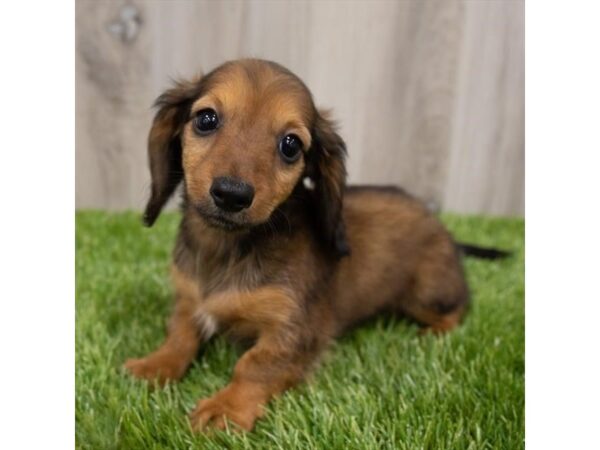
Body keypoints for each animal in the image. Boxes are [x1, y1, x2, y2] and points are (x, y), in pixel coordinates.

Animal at [125, 58, 496, 430]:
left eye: (290, 145)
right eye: (206, 119)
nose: (231, 194)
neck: (225, 248)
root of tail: (442, 228)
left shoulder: (296, 328)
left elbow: (255, 364)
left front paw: (226, 408)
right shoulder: (189, 300)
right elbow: (180, 335)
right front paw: (154, 366)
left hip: (427, 293)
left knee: (458, 307)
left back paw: (432, 333)